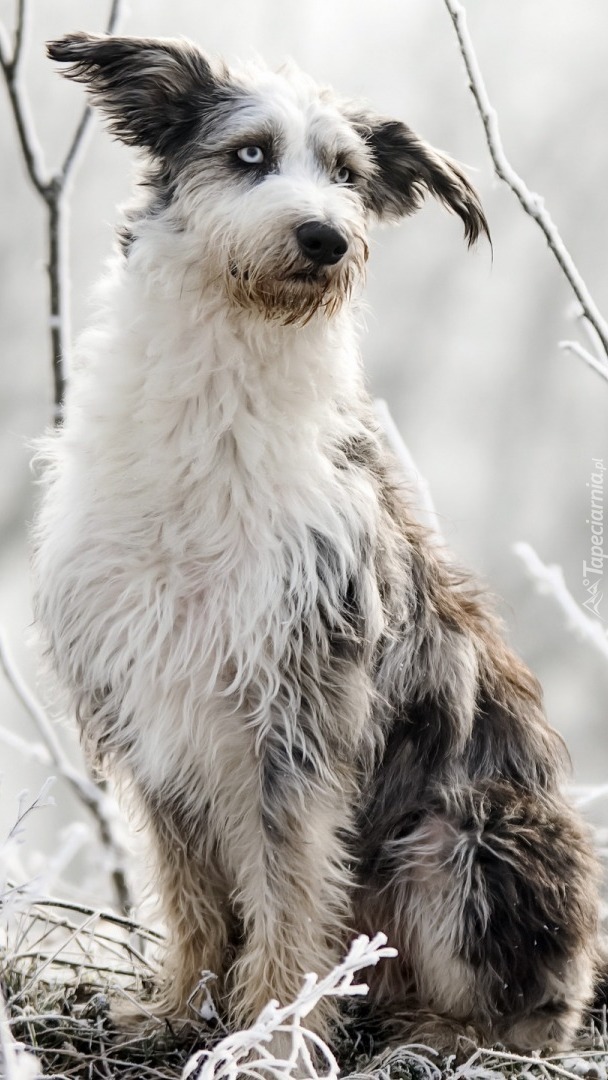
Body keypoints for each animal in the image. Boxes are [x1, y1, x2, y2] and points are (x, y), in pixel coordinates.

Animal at [32, 33, 600, 1054]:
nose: (325, 237)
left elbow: (290, 889)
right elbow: (192, 893)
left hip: (467, 837)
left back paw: (436, 1032)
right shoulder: (155, 708)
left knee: (527, 1016)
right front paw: (180, 1010)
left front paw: (271, 1038)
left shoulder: (300, 710)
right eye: (251, 153)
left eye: (347, 175)